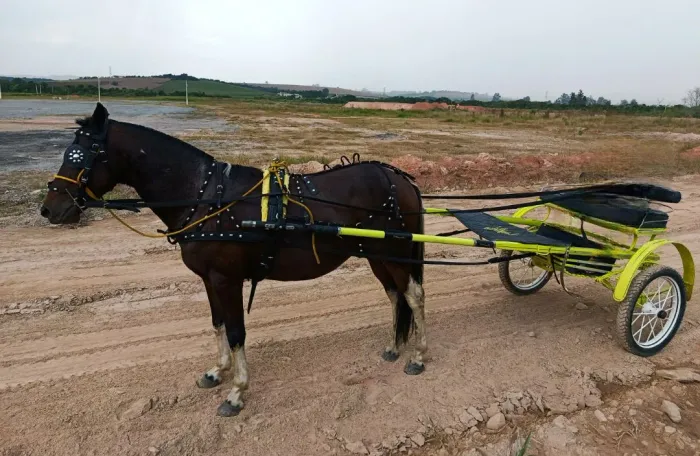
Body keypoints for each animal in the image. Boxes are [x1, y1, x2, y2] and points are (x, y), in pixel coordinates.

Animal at [40, 102, 428, 417]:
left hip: (394, 253)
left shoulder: (227, 279)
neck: (204, 196)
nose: (50, 209)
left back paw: (419, 356)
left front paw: (237, 392)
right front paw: (217, 371)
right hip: (375, 254)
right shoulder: (209, 279)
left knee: (413, 296)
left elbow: (237, 331)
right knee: (396, 296)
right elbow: (218, 325)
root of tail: (398, 177)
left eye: (82, 156)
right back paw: (395, 347)